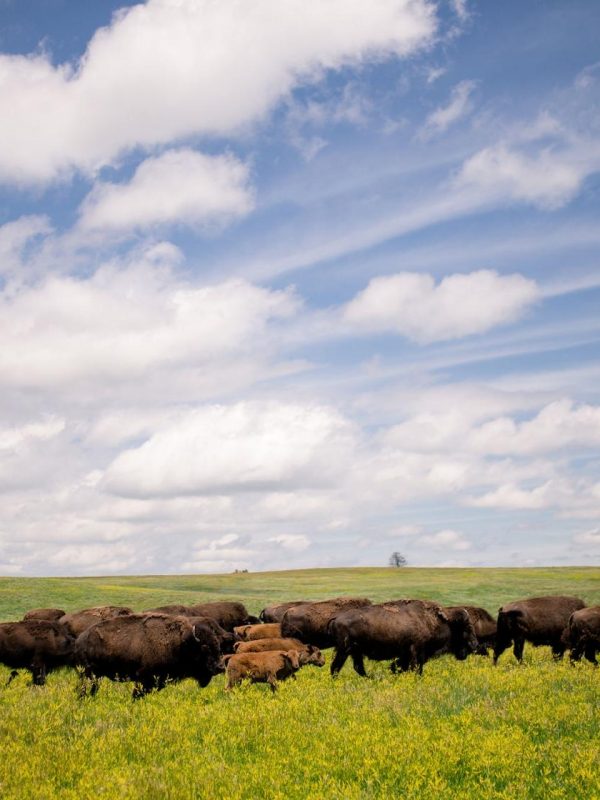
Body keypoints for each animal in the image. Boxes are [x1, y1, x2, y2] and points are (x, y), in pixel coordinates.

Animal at [75, 616, 223, 696]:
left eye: (218, 646)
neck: (181, 642)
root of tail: (80, 639)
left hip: (97, 677)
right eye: (205, 648)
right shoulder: (143, 679)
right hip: (88, 675)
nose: (220, 667)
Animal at [328, 600, 478, 676]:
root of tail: (337, 618)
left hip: (355, 652)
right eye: (467, 628)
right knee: (335, 667)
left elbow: (397, 667)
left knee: (358, 668)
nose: (475, 644)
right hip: (344, 651)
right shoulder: (415, 652)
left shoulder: (407, 656)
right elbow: (415, 669)